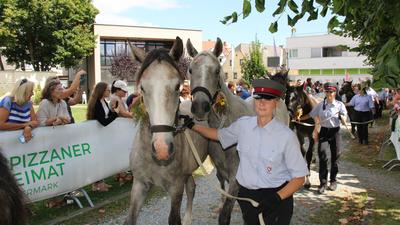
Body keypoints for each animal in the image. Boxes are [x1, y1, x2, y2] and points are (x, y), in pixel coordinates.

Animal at [123, 37, 208, 225]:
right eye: (142, 88)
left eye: (178, 86)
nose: (162, 149)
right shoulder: (139, 184)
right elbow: (130, 219)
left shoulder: (175, 188)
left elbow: (173, 219)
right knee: (191, 187)